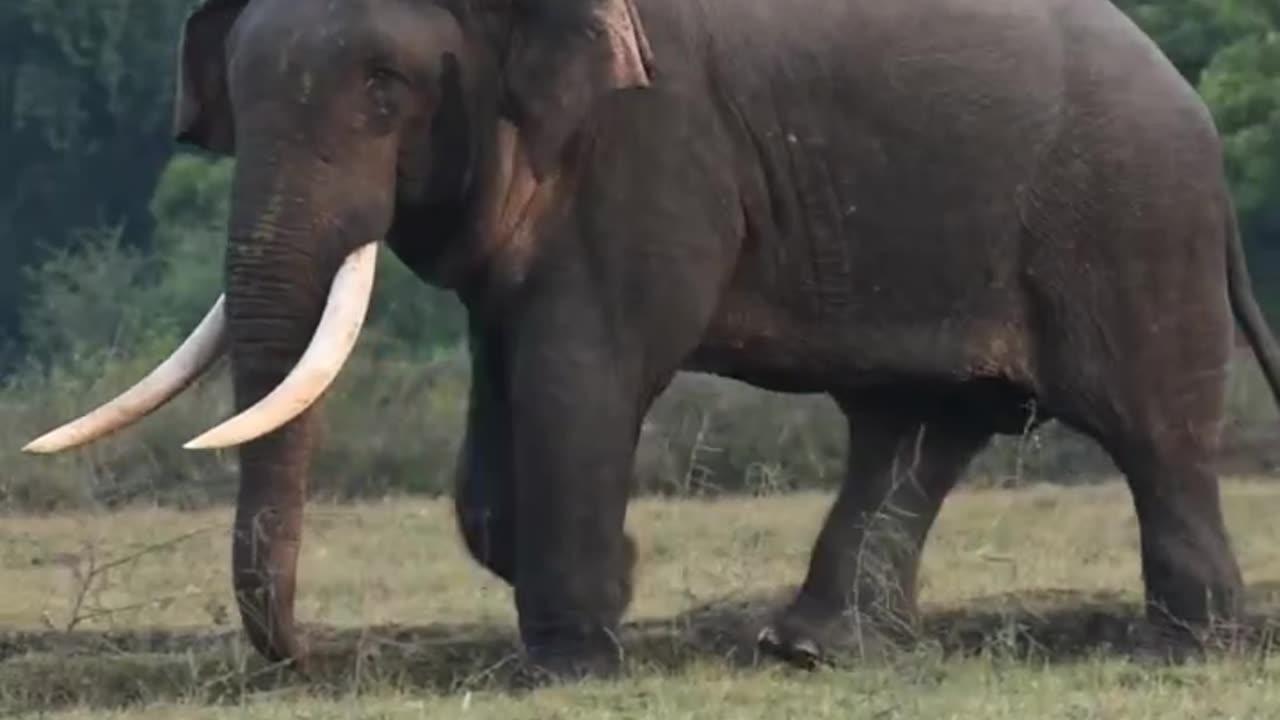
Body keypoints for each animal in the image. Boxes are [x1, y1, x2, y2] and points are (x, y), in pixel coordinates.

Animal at [24, 0, 1280, 677]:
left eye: (385, 87)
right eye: (230, 96)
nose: (321, 653)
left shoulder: (654, 139)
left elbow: (585, 362)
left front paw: (571, 656)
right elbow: (504, 368)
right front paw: (599, 583)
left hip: (1128, 218)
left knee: (1149, 430)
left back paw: (1187, 651)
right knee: (914, 424)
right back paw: (815, 652)